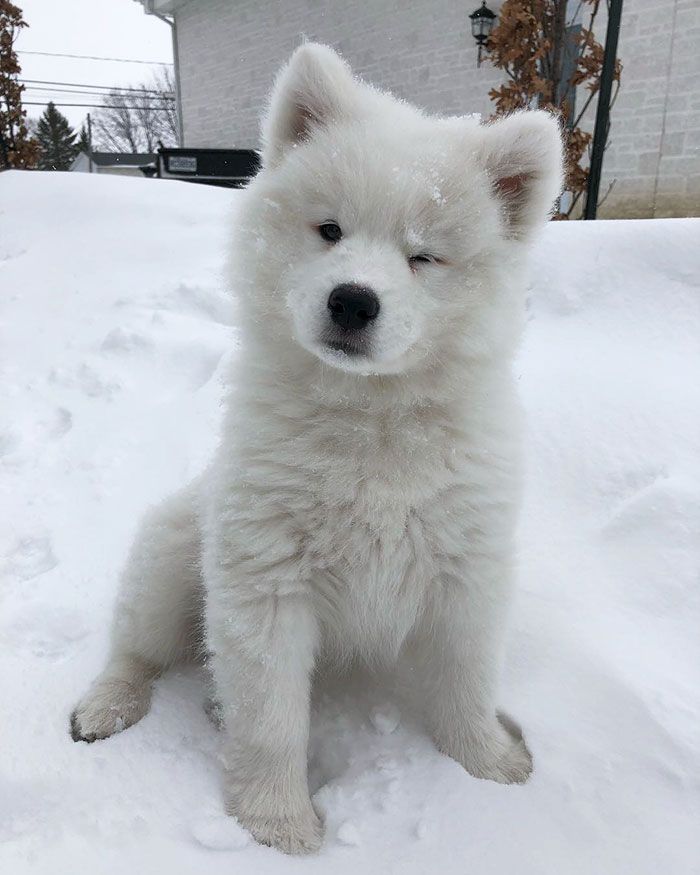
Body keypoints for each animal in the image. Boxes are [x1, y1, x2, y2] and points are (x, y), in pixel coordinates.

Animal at [71, 42, 564, 856]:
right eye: (330, 230)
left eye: (423, 256)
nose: (353, 300)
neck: (371, 422)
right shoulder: (265, 575)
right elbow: (271, 716)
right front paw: (278, 825)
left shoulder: (467, 568)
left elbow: (466, 679)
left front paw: (489, 767)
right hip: (172, 552)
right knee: (136, 647)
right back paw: (106, 706)